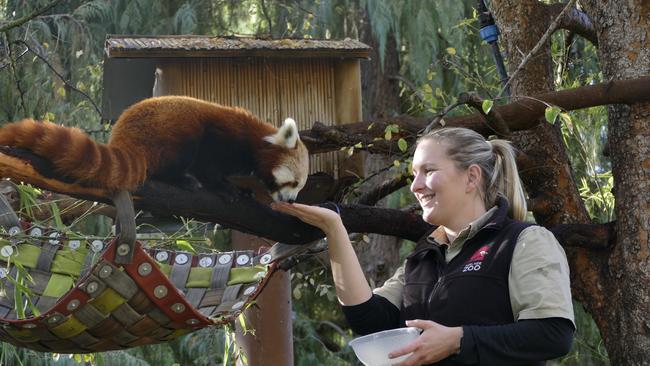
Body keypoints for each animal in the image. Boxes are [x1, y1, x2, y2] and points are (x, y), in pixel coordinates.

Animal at [0, 96, 308, 202]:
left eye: (299, 187)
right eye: (292, 182)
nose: (292, 201)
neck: (254, 141)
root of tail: (122, 138)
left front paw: (243, 188)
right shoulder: (221, 136)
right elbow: (208, 165)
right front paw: (225, 188)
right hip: (171, 132)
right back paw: (182, 179)